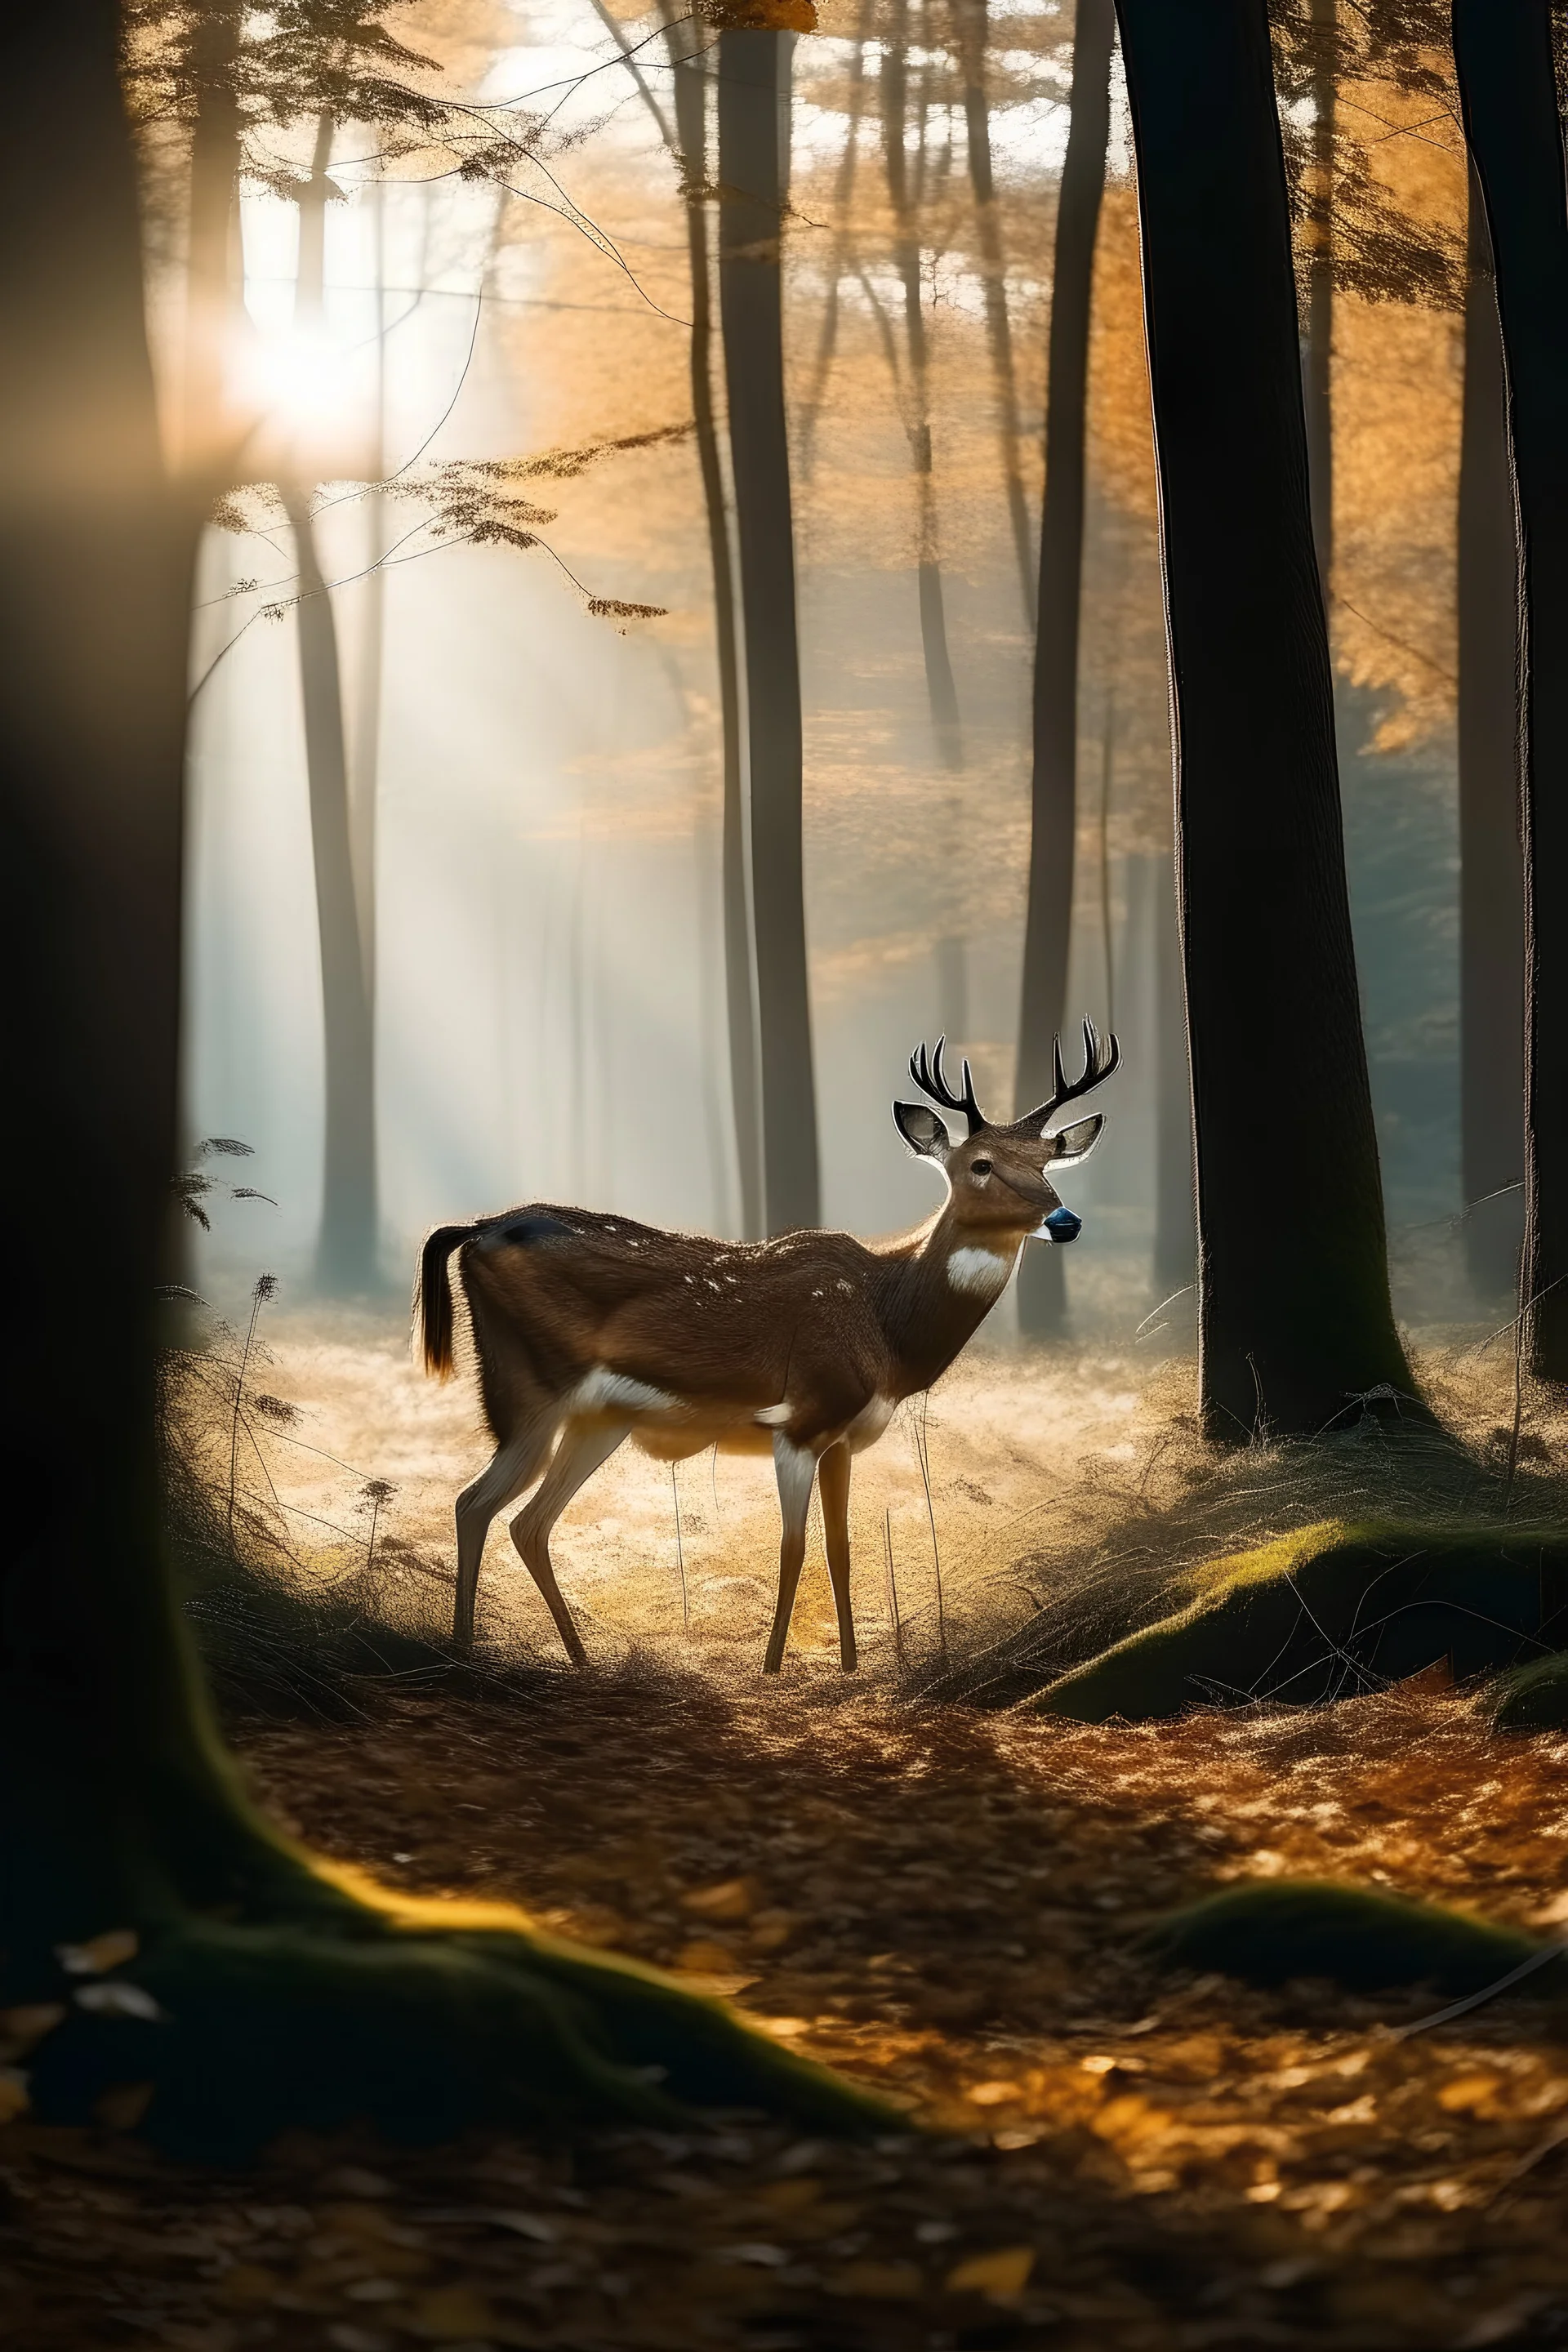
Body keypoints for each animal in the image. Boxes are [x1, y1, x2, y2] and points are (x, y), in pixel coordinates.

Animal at [416, 1025, 1123, 1674]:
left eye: (1047, 1161)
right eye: (980, 1164)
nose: (1065, 1220)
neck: (886, 1331)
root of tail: (477, 1229)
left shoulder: (842, 1436)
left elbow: (841, 1547)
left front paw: (850, 1667)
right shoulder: (801, 1419)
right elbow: (793, 1547)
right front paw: (773, 1665)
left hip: (598, 1418)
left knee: (528, 1522)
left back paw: (579, 1658)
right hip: (527, 1384)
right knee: (474, 1503)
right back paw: (464, 1651)